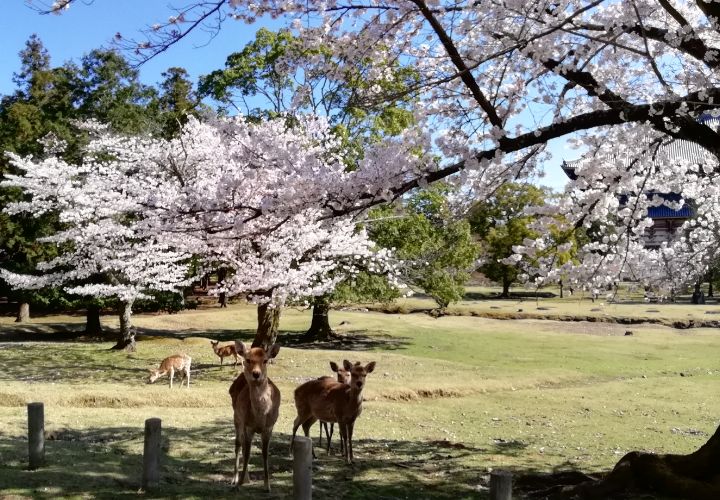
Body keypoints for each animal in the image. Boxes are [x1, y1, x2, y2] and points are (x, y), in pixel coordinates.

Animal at [229, 340, 280, 492]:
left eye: (265, 360)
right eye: (248, 360)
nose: (256, 374)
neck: (260, 416)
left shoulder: (269, 427)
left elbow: (265, 453)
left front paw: (267, 486)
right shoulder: (248, 426)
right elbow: (247, 453)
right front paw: (239, 483)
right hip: (236, 418)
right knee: (238, 444)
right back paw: (235, 479)